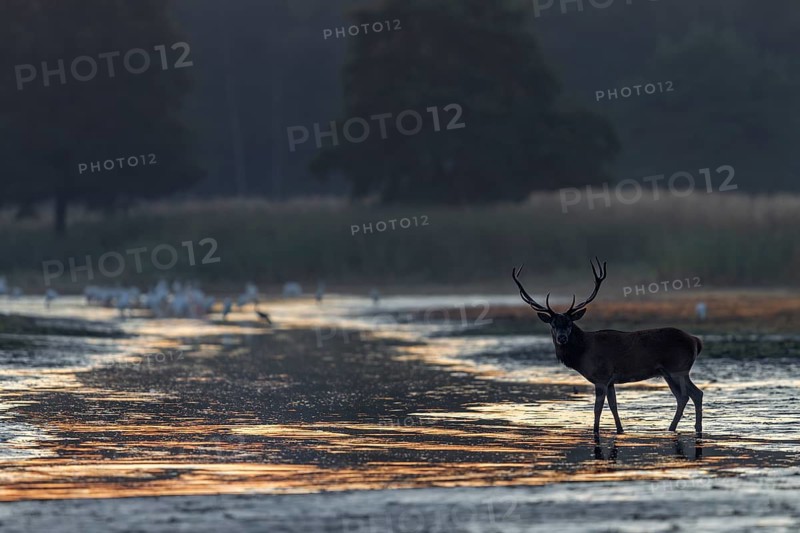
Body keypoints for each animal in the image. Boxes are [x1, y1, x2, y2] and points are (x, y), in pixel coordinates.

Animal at [512, 258, 703, 434]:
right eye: (552, 324)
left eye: (569, 323)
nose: (562, 338)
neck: (583, 354)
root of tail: (695, 340)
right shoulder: (610, 381)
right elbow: (613, 406)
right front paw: (620, 430)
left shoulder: (601, 376)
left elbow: (597, 408)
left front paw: (595, 431)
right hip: (667, 372)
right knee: (688, 395)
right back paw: (682, 428)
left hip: (678, 367)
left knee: (689, 394)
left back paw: (682, 428)